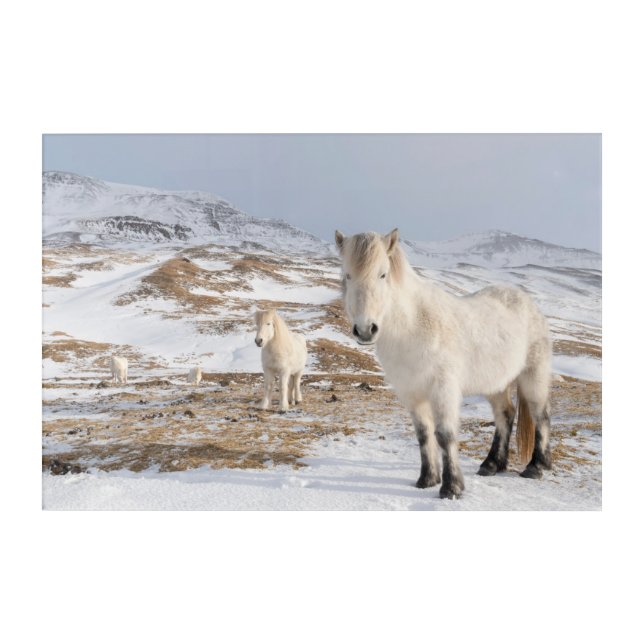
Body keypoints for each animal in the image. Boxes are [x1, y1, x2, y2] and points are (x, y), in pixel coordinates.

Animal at [335, 228, 552, 499]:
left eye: (382, 274)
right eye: (348, 275)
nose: (365, 330)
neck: (413, 326)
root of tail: (526, 301)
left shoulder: (443, 390)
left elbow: (445, 435)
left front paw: (451, 487)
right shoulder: (412, 394)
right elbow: (423, 434)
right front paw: (427, 479)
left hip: (533, 375)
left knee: (541, 415)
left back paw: (536, 466)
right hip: (496, 384)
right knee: (505, 414)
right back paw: (491, 465)